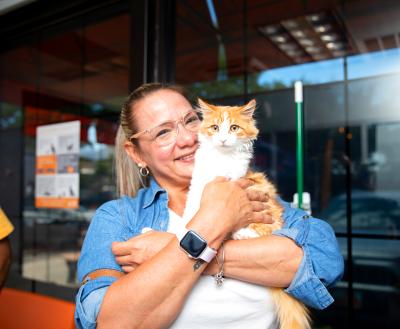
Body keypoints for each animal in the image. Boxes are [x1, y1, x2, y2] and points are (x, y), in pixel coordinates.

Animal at [183, 98, 310, 328]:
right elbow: (191, 214)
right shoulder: (197, 187)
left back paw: (241, 234)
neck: (221, 160)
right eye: (215, 128)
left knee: (259, 233)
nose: (223, 139)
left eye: (234, 128)